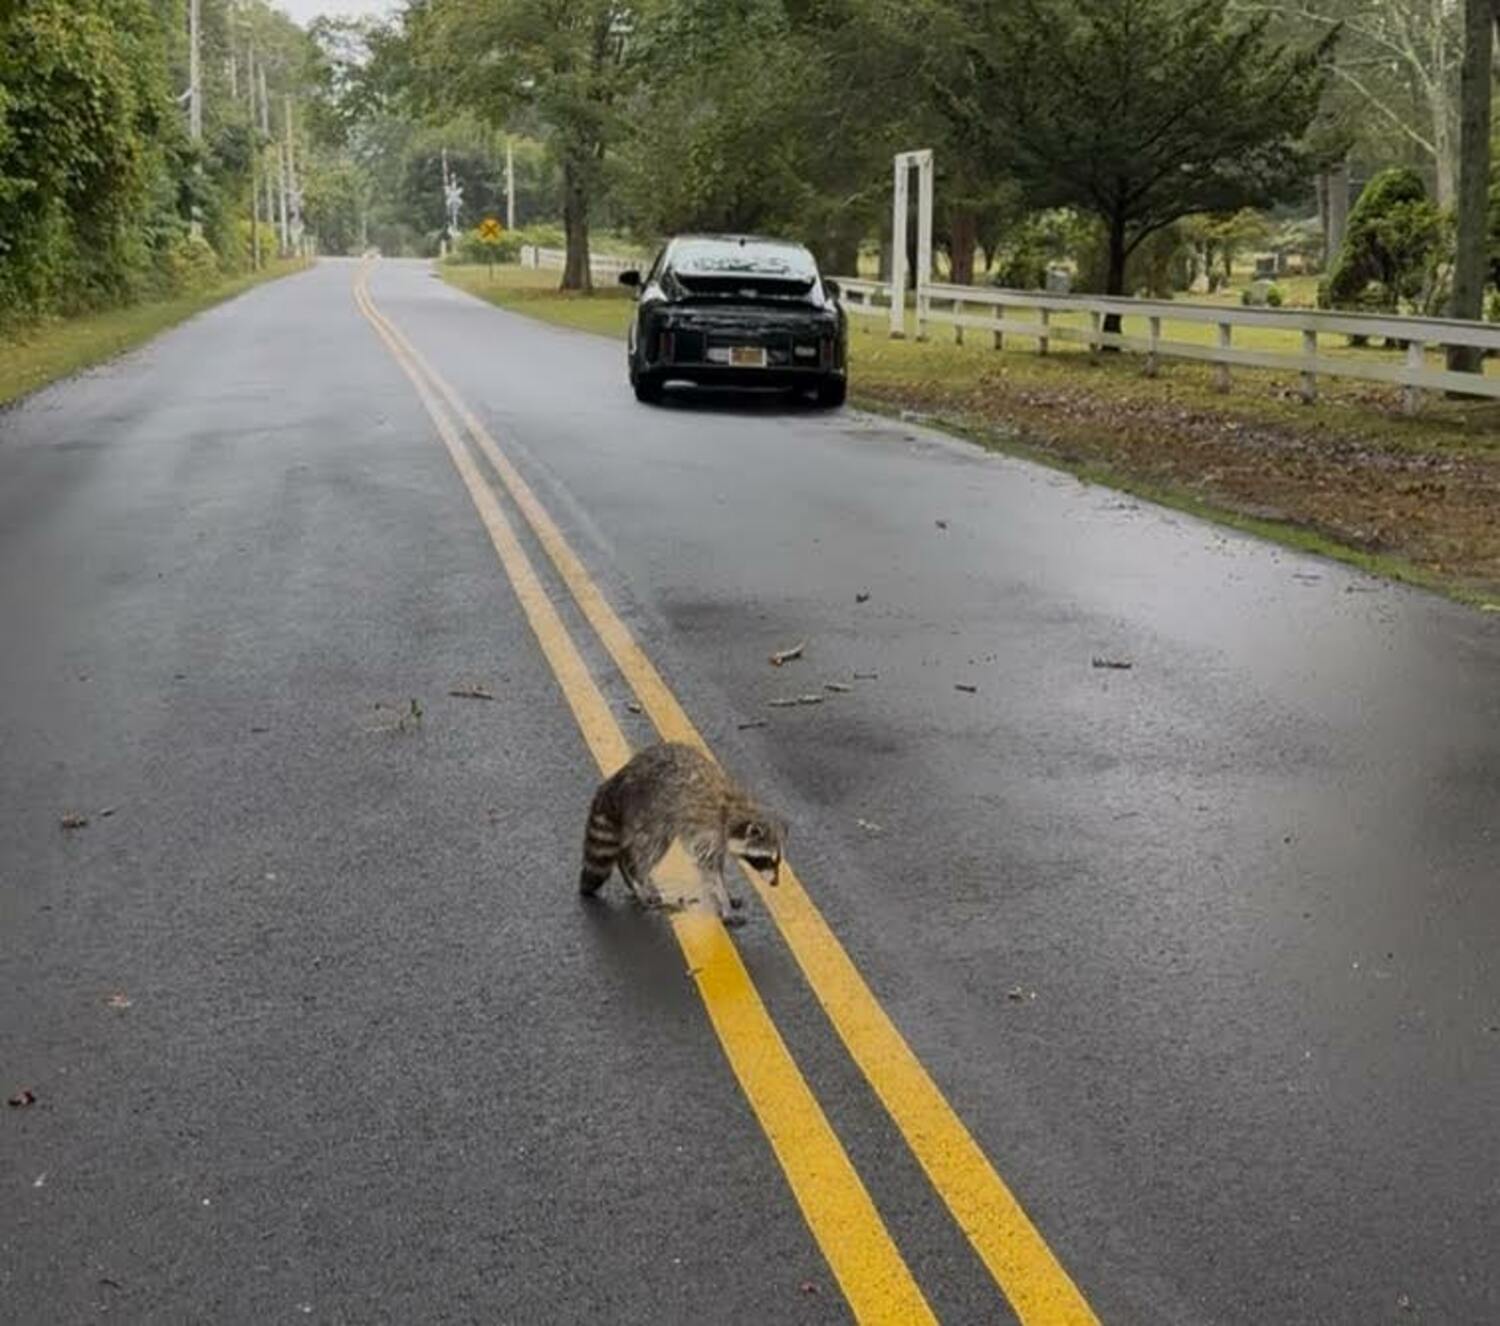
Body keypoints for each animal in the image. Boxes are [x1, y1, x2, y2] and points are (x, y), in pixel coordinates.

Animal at [579, 742, 785, 925]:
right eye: (766, 859)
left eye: (776, 860)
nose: (775, 883)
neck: (737, 812)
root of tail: (618, 778)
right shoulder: (709, 831)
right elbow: (709, 867)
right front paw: (723, 901)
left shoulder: (718, 839)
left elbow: (717, 865)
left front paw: (725, 893)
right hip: (650, 807)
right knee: (652, 845)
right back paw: (637, 878)